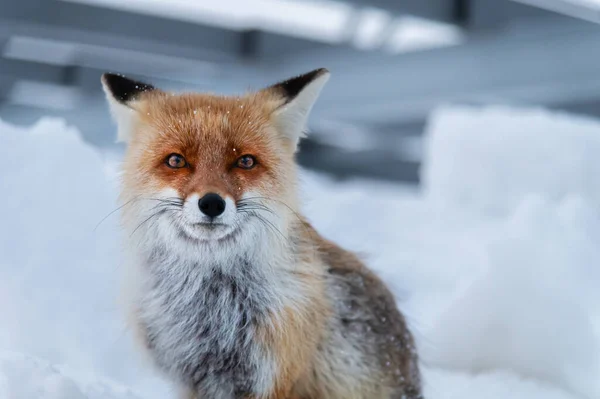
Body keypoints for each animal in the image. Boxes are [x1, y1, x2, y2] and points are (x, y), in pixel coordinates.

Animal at [102, 69, 422, 399]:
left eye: (245, 161)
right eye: (176, 160)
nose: (212, 203)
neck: (211, 310)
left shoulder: (273, 375)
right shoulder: (189, 379)